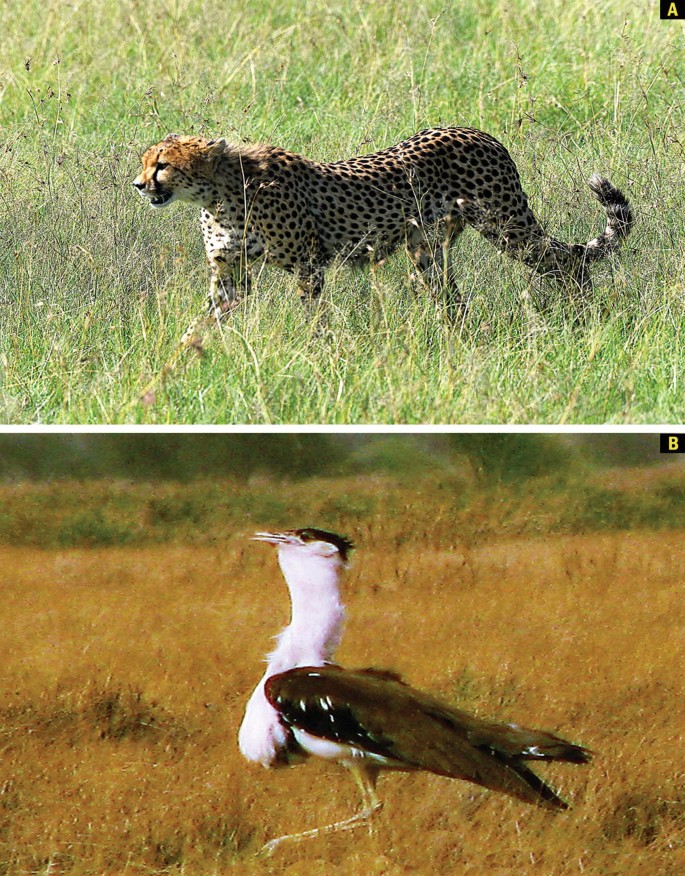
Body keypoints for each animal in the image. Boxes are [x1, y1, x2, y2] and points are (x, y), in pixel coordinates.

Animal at [135, 132, 636, 330]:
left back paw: (587, 312)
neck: (218, 194)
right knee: (452, 297)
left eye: (162, 165)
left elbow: (314, 319)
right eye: (145, 163)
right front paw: (177, 366)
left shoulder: (308, 265)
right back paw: (459, 340)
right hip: (427, 250)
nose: (139, 185)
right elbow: (203, 322)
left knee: (566, 259)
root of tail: (480, 132)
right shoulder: (230, 273)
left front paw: (318, 355)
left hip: (506, 226)